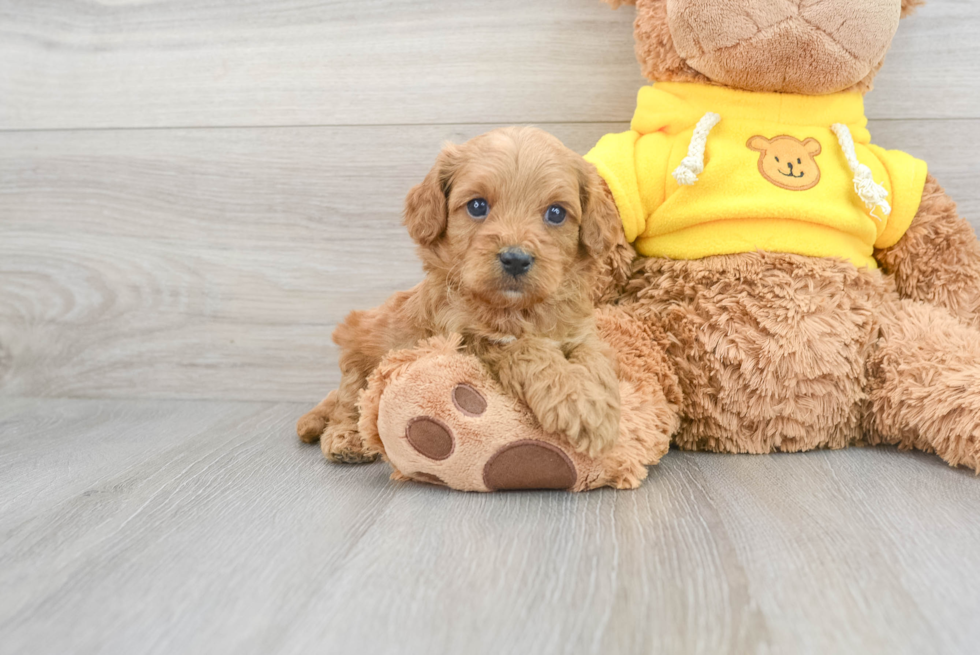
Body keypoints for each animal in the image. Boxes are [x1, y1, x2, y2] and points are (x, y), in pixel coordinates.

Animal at [294, 128, 624, 464]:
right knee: (349, 399)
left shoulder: (579, 331)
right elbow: (526, 348)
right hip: (359, 343)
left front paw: (599, 404)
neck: (517, 309)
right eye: (477, 206)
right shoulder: (466, 339)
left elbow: (595, 357)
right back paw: (345, 438)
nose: (515, 259)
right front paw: (577, 402)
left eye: (556, 213)